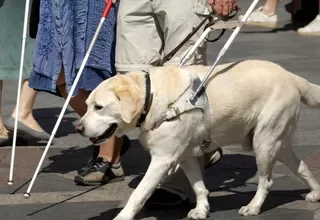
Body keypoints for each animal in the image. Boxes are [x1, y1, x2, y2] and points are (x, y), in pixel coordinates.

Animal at [77, 60, 320, 220]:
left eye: (99, 107)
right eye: (87, 105)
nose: (78, 128)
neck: (153, 98)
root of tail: (291, 75)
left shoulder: (162, 160)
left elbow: (138, 193)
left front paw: (123, 216)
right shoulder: (186, 156)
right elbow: (199, 186)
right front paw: (202, 209)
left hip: (264, 141)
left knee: (266, 180)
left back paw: (253, 207)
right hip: (277, 143)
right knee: (301, 166)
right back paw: (315, 193)